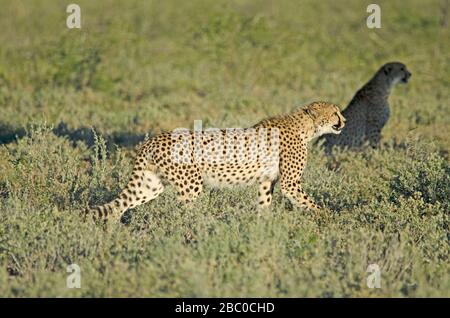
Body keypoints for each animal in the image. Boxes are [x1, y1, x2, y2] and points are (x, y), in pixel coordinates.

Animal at [85, 102, 344, 221]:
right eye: (334, 113)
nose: (345, 120)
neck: (306, 127)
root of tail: (154, 139)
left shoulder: (265, 181)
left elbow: (264, 204)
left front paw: (264, 226)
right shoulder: (291, 183)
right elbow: (310, 203)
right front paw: (329, 218)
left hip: (150, 184)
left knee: (120, 204)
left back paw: (112, 231)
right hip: (190, 185)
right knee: (184, 211)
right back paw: (197, 229)